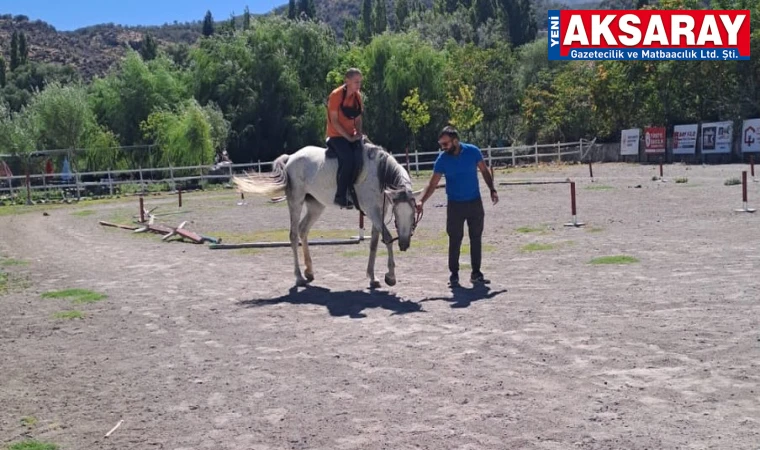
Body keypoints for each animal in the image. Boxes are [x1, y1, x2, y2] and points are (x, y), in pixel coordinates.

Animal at [233, 139, 422, 288]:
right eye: (397, 213)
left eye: (413, 213)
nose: (404, 244)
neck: (379, 173)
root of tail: (290, 158)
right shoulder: (371, 210)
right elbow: (388, 238)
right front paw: (390, 277)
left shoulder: (379, 210)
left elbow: (375, 243)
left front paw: (373, 277)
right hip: (295, 201)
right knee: (293, 234)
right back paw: (299, 277)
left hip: (316, 206)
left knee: (303, 230)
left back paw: (309, 272)